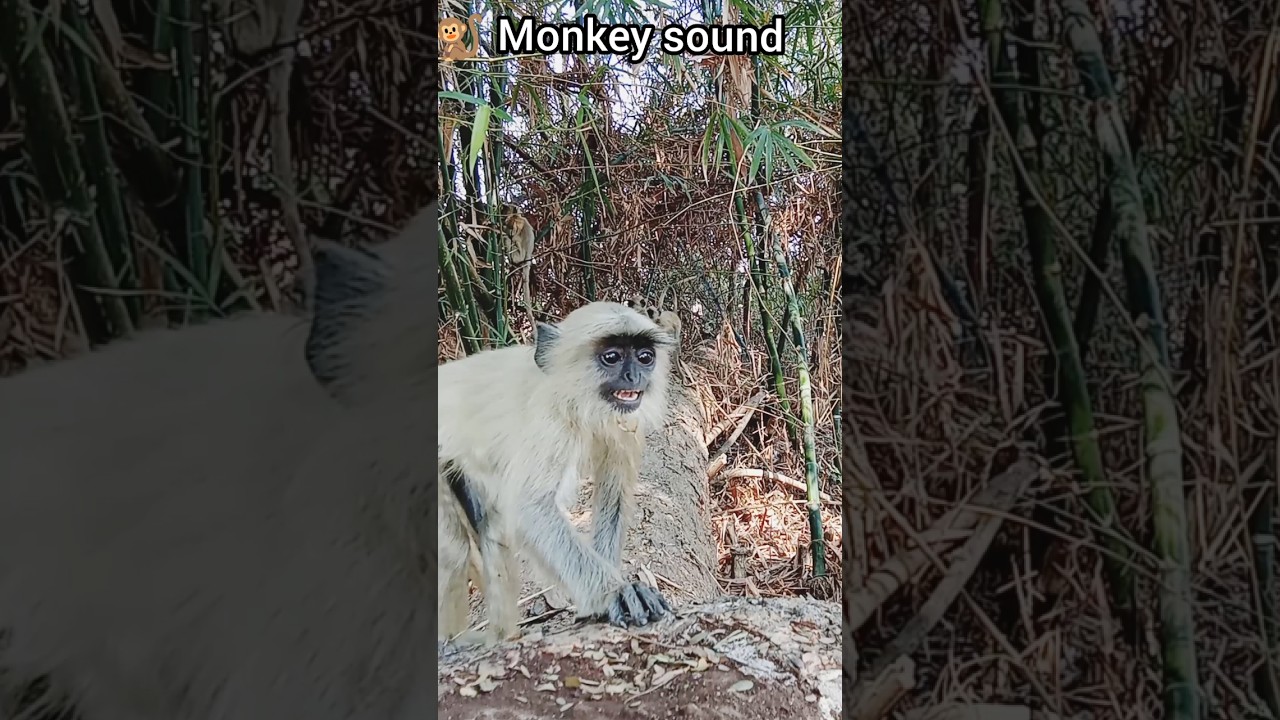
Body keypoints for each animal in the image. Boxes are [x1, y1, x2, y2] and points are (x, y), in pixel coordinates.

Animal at [437, 301, 676, 645]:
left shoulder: (624, 421)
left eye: (645, 357)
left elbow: (613, 498)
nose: (634, 376)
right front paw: (614, 592)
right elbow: (529, 507)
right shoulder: (549, 421)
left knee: (492, 531)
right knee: (453, 549)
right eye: (612, 357)